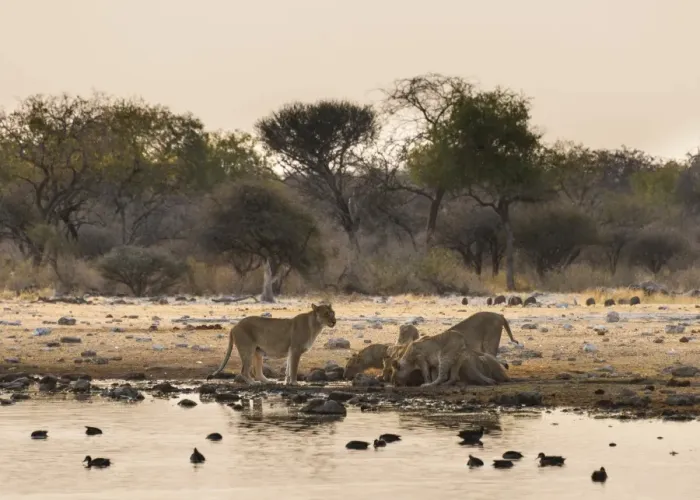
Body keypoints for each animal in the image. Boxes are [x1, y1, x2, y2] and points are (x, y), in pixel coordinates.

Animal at [207, 304, 336, 385]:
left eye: (333, 313)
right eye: (326, 313)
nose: (334, 321)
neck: (316, 325)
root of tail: (234, 326)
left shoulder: (291, 350)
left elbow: (288, 368)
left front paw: (287, 382)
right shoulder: (295, 349)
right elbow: (293, 368)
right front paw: (295, 382)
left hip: (258, 351)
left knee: (257, 373)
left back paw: (268, 381)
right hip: (247, 350)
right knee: (244, 371)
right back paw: (253, 383)